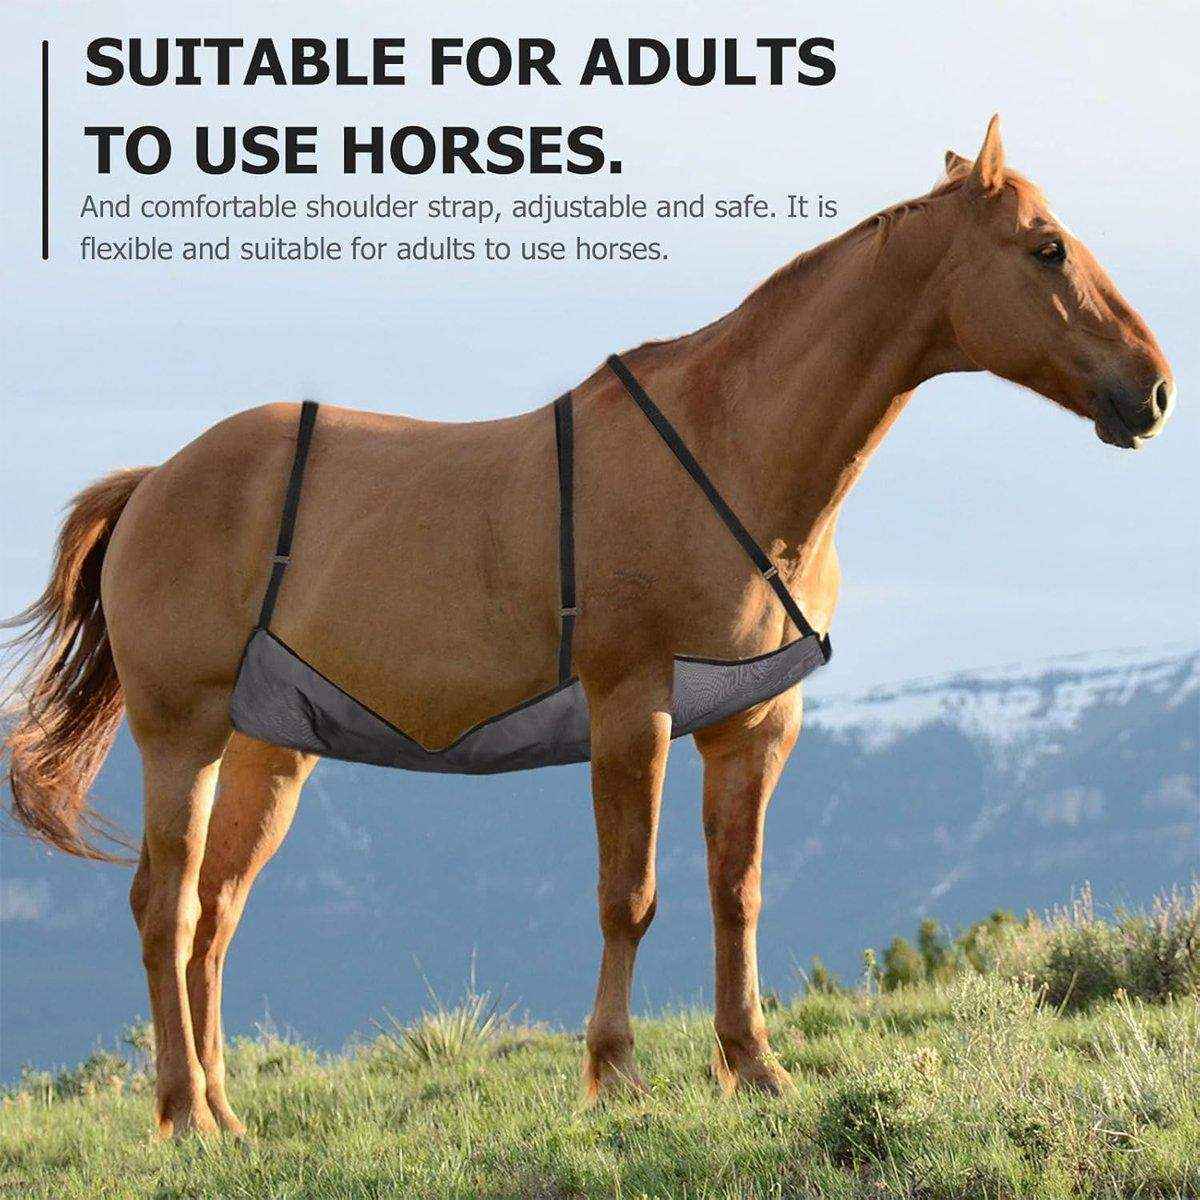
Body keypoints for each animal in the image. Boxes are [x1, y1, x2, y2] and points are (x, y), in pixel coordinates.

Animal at [3, 116, 1175, 1137]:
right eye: (1046, 246)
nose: (1155, 391)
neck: (731, 448)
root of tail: (155, 481)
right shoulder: (631, 706)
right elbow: (631, 896)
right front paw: (614, 1074)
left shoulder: (756, 725)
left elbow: (737, 892)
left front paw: (755, 1066)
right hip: (183, 731)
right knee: (164, 909)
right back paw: (184, 1117)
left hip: (266, 749)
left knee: (212, 920)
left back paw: (227, 1114)